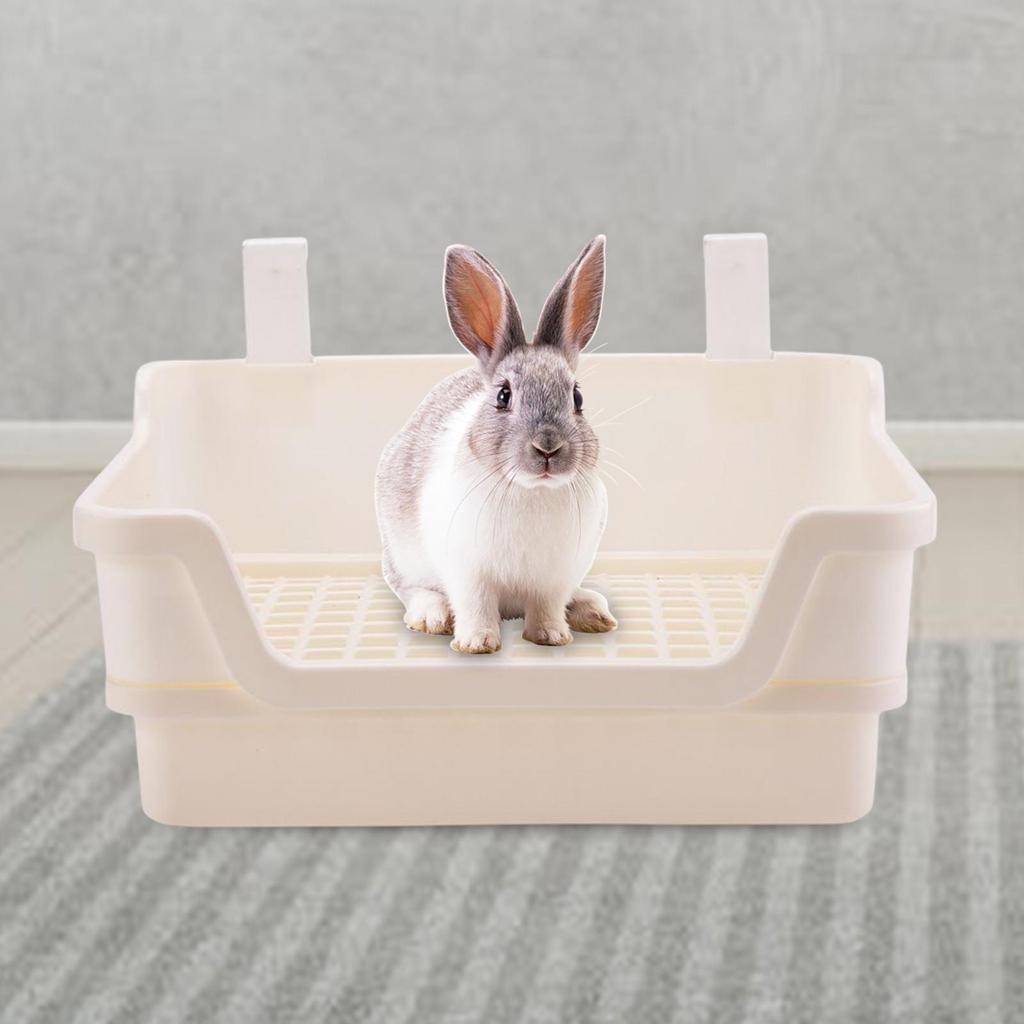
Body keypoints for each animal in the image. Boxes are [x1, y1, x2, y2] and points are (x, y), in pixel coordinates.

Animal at [374, 236, 617, 654]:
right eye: (503, 396)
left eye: (577, 398)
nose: (547, 448)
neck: (532, 490)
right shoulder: (468, 572)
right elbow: (475, 605)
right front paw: (476, 644)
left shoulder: (554, 577)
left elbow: (548, 607)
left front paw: (551, 637)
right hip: (403, 556)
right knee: (409, 588)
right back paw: (431, 616)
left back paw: (592, 611)